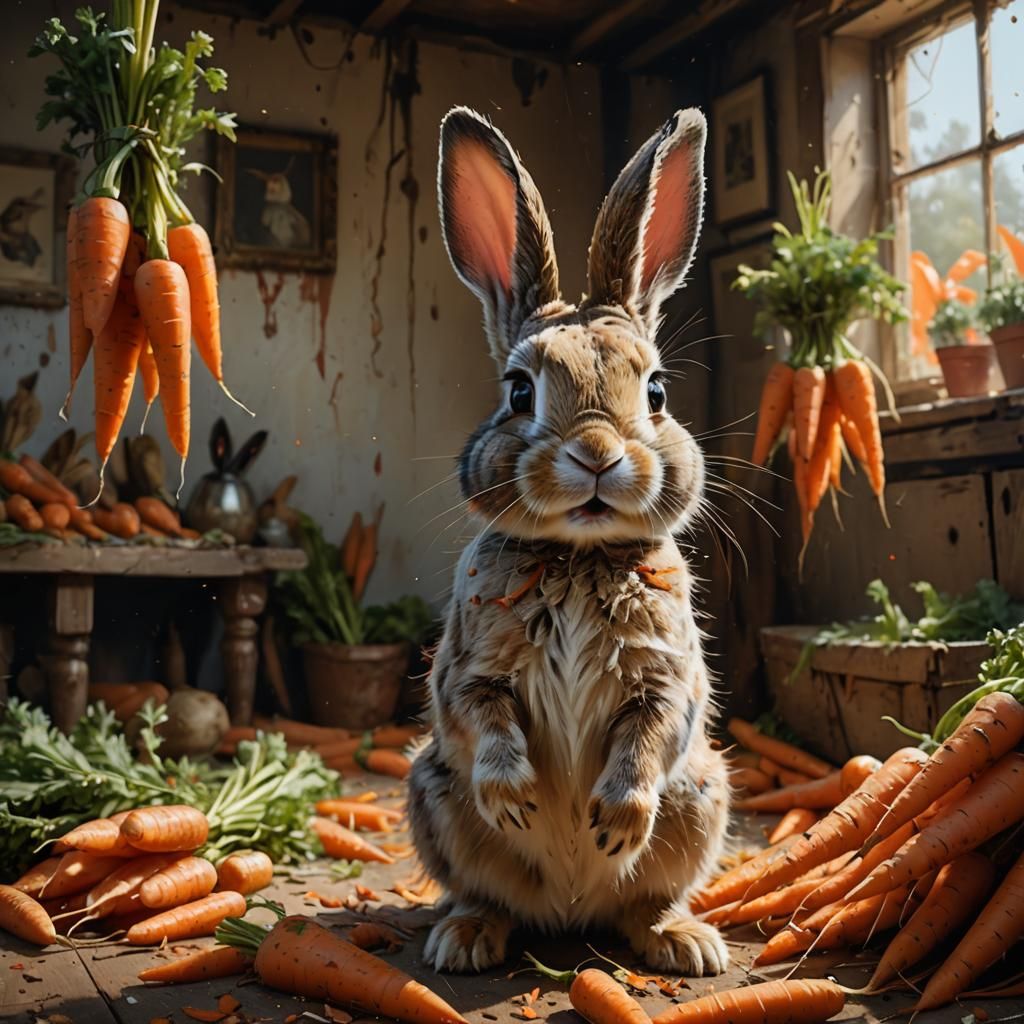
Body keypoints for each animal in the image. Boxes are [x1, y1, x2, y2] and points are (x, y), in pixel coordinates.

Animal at [407, 106, 731, 977]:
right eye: (520, 391)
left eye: (657, 392)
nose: (596, 453)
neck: (579, 558)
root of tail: (569, 912)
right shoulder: (472, 674)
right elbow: (484, 719)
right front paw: (518, 801)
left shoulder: (665, 680)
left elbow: (649, 736)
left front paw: (611, 822)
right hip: (434, 794)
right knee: (488, 893)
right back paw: (464, 940)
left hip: (702, 797)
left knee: (642, 901)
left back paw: (684, 942)